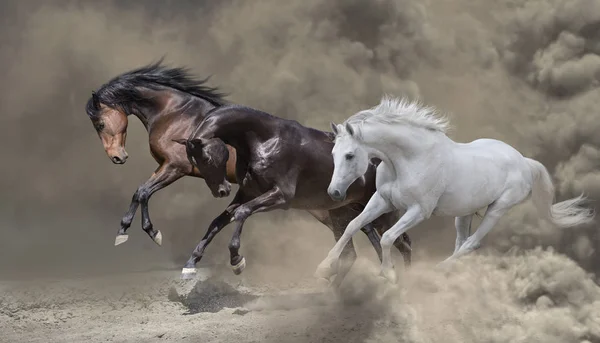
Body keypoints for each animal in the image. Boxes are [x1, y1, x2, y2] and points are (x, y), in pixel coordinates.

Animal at [173, 105, 412, 288]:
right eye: (194, 162)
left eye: (206, 159)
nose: (221, 191)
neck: (266, 140)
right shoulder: (248, 192)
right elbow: (219, 221)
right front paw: (190, 264)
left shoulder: (281, 196)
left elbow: (242, 213)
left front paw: (236, 261)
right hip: (342, 214)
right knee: (351, 254)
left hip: (379, 213)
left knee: (402, 244)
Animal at [314, 95, 596, 284]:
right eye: (334, 153)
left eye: (350, 155)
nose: (334, 193)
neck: (410, 159)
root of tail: (524, 161)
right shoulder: (382, 200)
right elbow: (352, 226)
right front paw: (324, 268)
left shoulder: (418, 211)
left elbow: (388, 237)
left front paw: (389, 273)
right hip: (465, 213)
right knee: (462, 241)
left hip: (497, 210)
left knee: (471, 243)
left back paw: (439, 270)